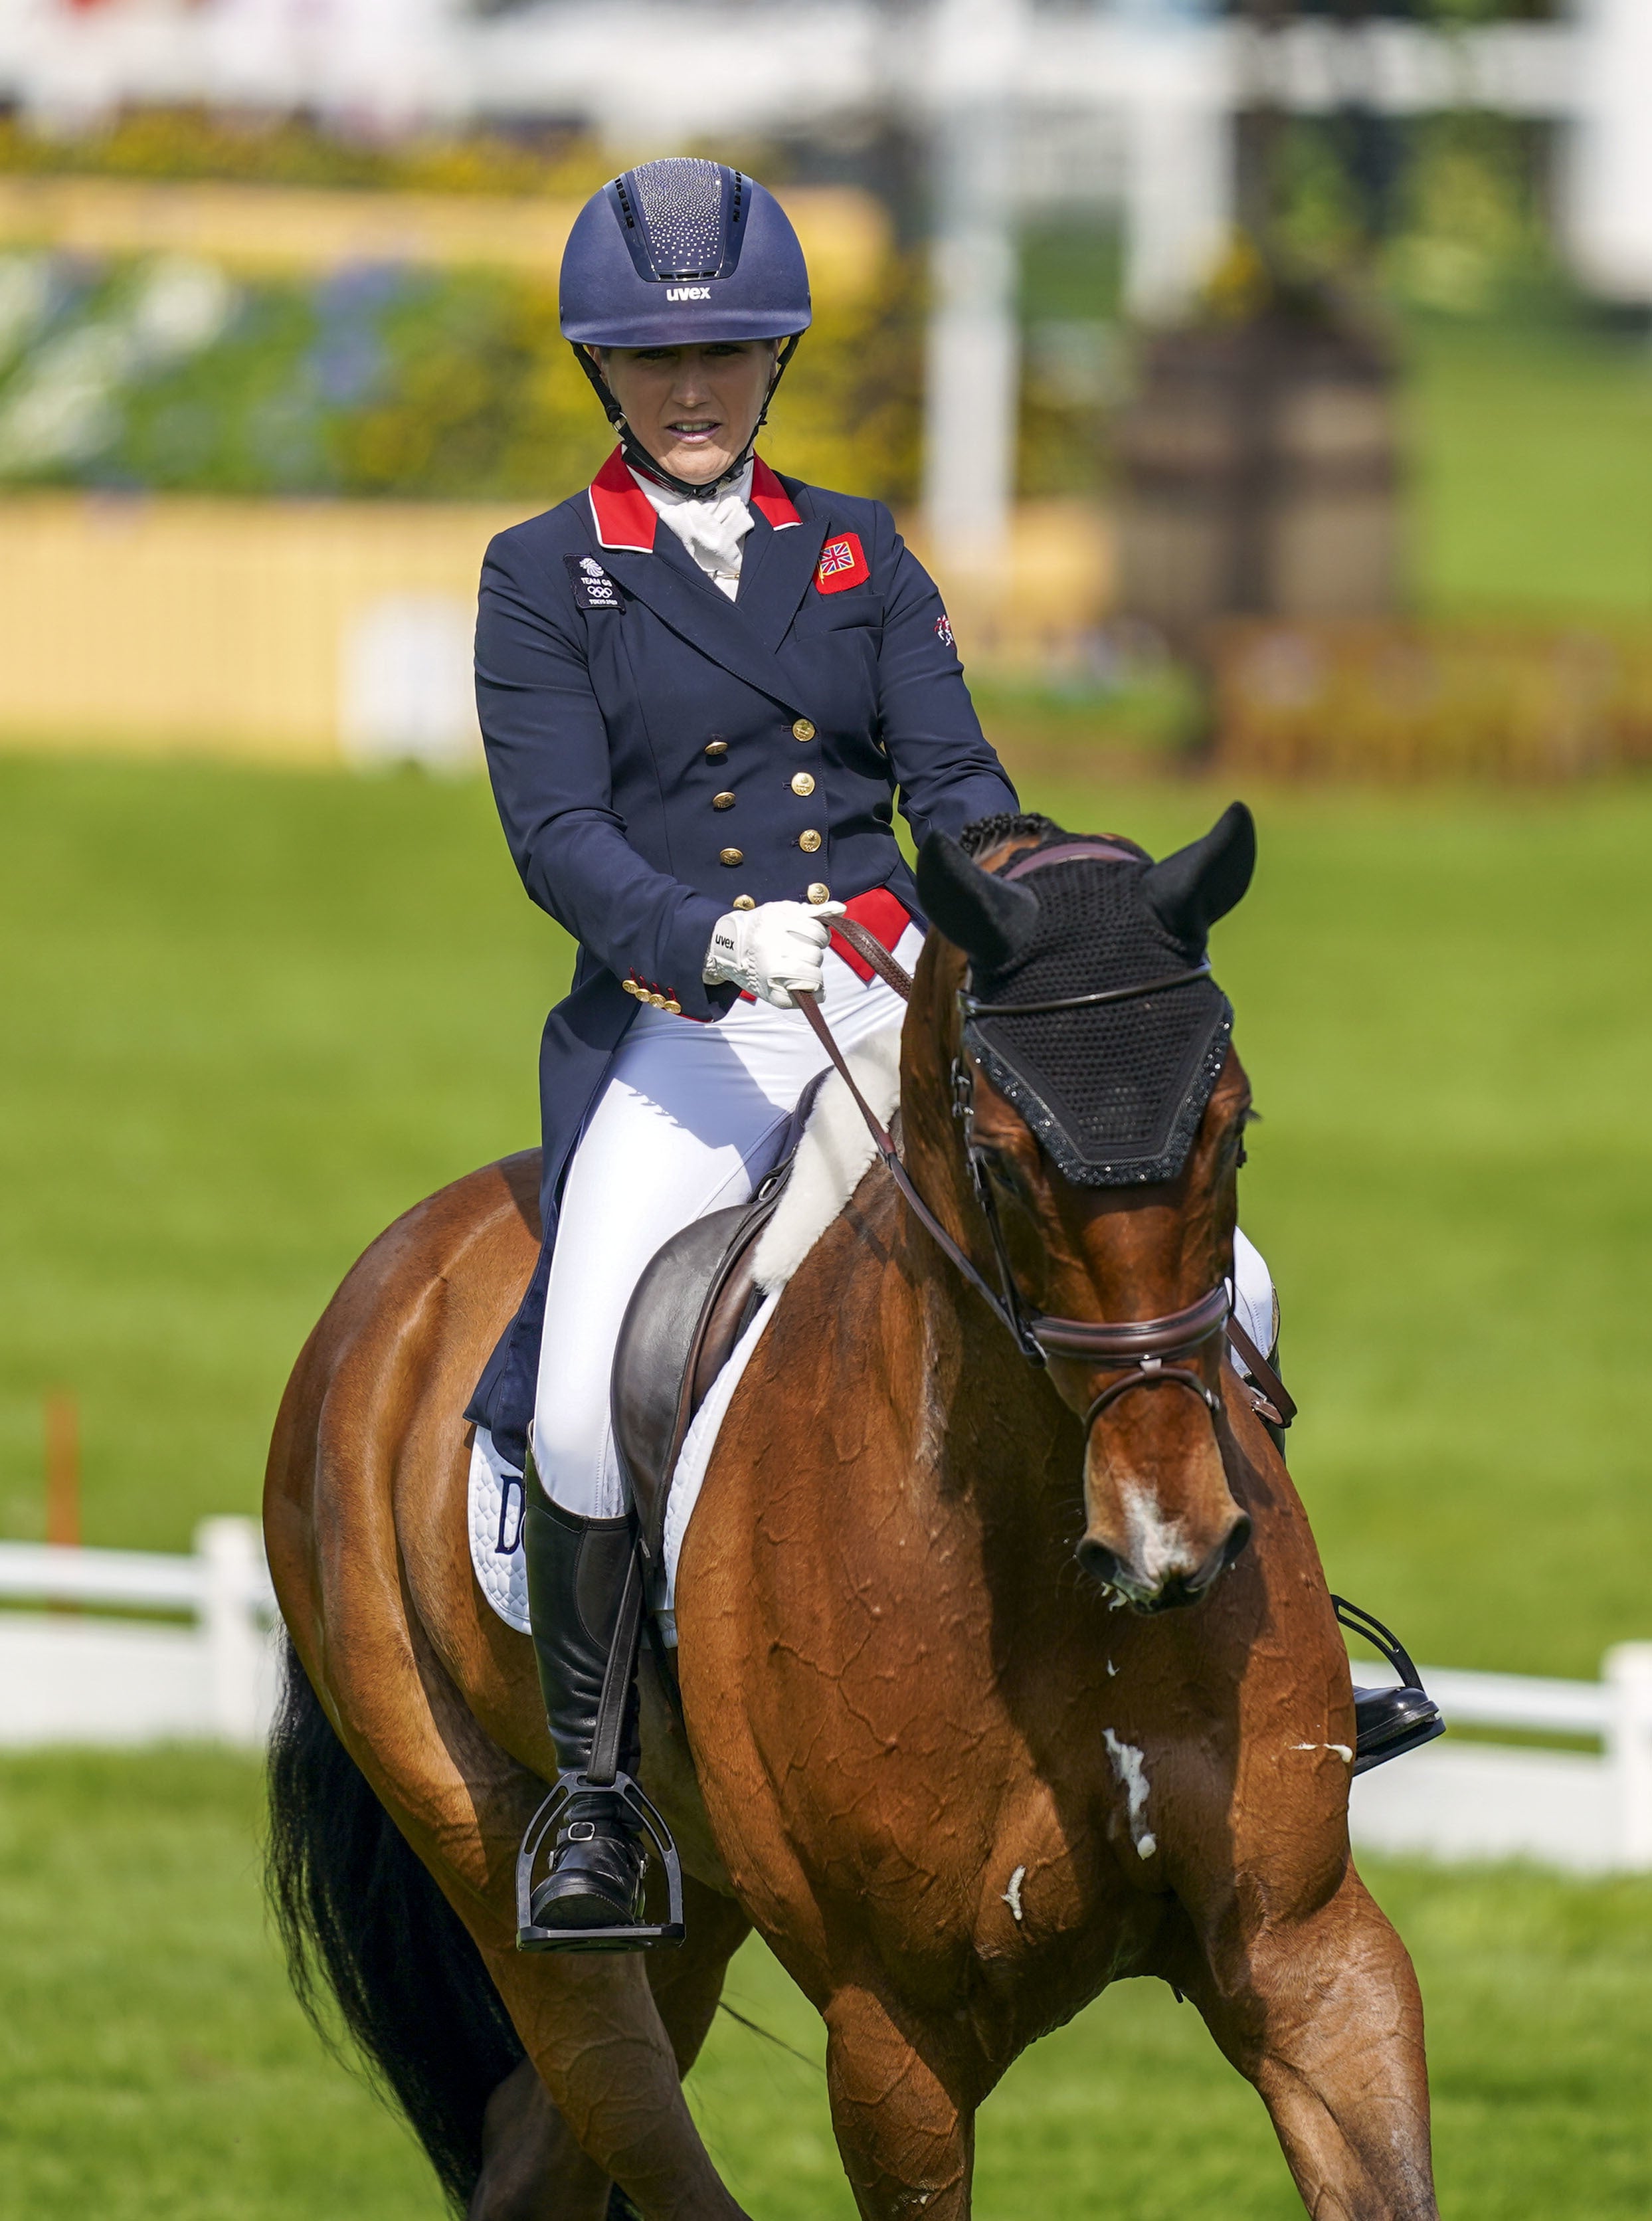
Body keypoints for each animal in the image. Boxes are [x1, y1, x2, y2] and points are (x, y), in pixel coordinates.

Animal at [264, 808, 1439, 2212]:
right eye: (1002, 1163)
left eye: (1235, 1130)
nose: (1170, 1540)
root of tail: (386, 1283)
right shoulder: (895, 2033)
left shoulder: (1308, 1948)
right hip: (505, 1875)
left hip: (694, 1899)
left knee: (534, 2150)